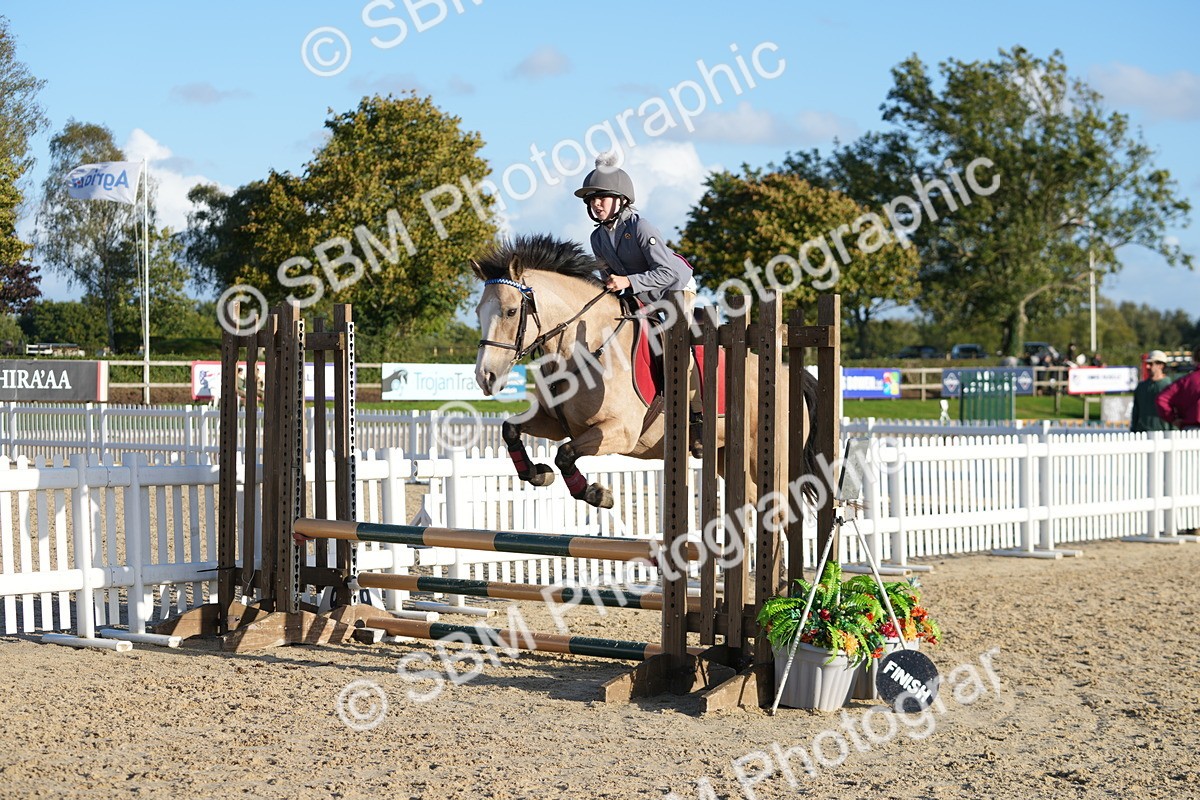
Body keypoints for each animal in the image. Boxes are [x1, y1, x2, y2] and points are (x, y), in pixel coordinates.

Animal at [472, 233, 817, 509]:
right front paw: (538, 474)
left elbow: (565, 454)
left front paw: (597, 494)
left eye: (511, 312)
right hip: (726, 456)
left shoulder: (620, 432)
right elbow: (510, 429)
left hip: (768, 457)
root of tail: (787, 374)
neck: (582, 348)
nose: (485, 377)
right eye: (478, 312)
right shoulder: (555, 423)